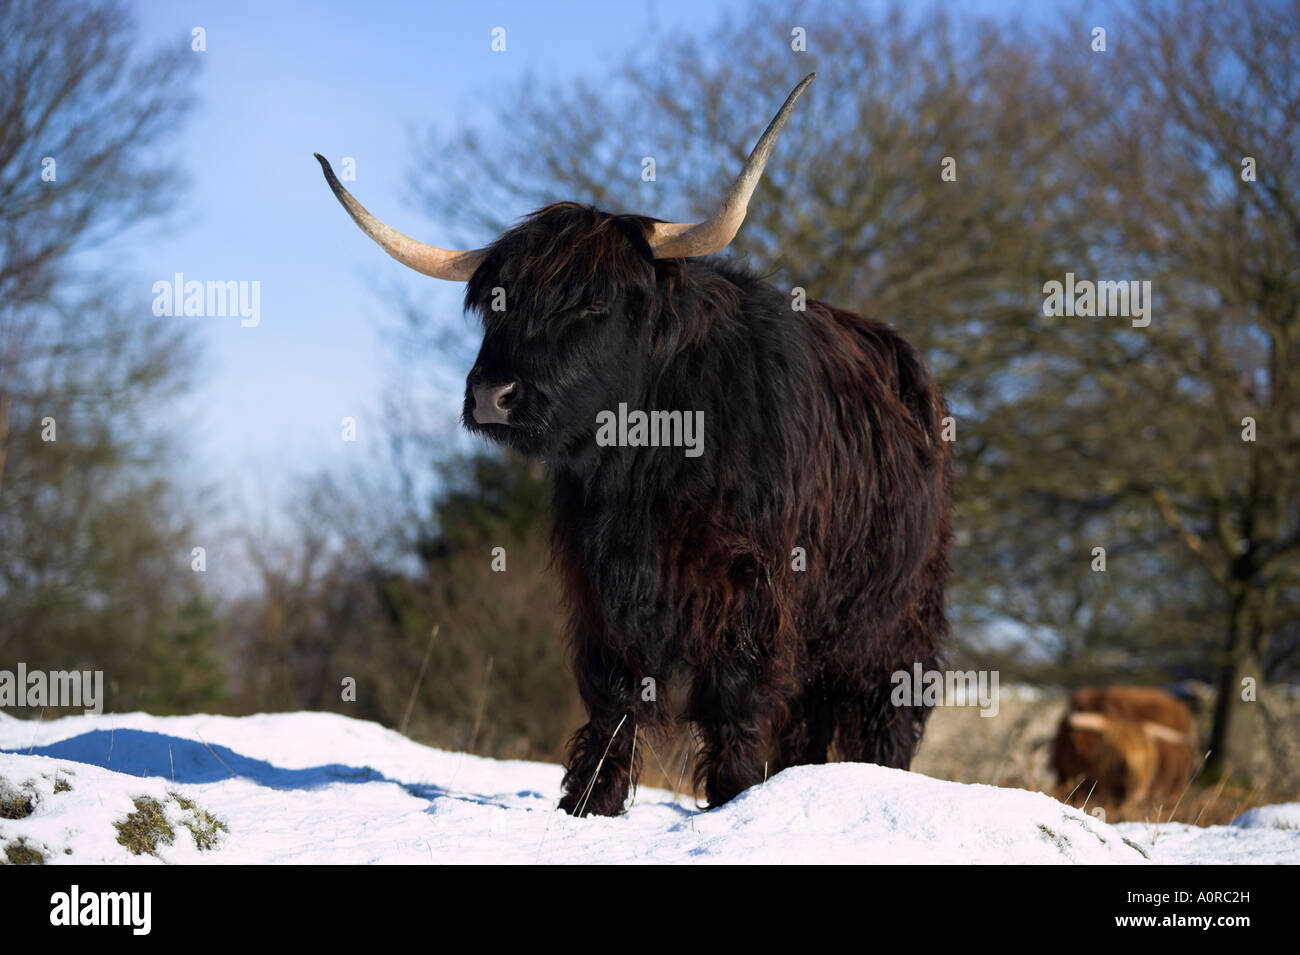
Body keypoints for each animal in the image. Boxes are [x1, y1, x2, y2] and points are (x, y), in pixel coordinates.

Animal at [315, 73, 954, 816]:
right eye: (497, 302)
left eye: (593, 304)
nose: (491, 395)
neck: (646, 467)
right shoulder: (600, 580)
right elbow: (614, 694)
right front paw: (589, 803)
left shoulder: (752, 581)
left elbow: (734, 698)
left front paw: (734, 802)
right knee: (809, 716)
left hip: (899, 613)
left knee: (886, 709)